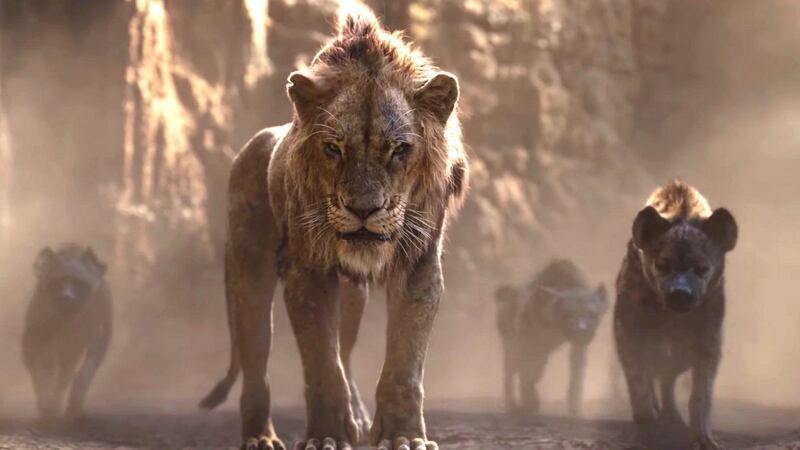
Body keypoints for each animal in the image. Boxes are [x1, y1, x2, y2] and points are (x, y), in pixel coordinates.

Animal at [22, 244, 112, 423]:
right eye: (57, 282)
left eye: (80, 283)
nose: (67, 298)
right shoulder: (34, 339)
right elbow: (41, 374)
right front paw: (47, 408)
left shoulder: (97, 340)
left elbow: (83, 374)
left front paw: (73, 410)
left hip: (70, 352)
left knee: (65, 377)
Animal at [199, 4, 468, 450]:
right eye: (333, 148)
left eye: (399, 149)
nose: (363, 209)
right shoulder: (306, 270)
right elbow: (322, 363)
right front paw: (326, 436)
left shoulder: (419, 265)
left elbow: (403, 363)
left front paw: (402, 436)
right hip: (248, 273)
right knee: (257, 362)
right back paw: (260, 437)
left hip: (352, 296)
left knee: (345, 348)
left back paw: (357, 417)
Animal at [614, 180, 737, 449]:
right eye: (662, 265)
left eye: (701, 268)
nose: (680, 293)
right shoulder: (629, 328)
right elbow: (638, 381)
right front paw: (647, 428)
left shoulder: (708, 336)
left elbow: (701, 393)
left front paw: (703, 438)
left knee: (668, 377)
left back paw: (673, 418)